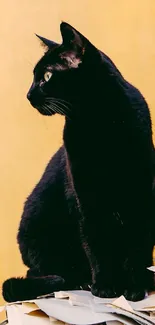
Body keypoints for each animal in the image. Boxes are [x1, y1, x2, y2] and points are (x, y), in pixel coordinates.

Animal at [2, 22, 155, 302]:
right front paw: (104, 287)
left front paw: (134, 288)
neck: (99, 122)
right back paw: (82, 281)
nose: (28, 94)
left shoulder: (140, 194)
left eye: (46, 76)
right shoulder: (85, 196)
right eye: (34, 76)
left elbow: (136, 247)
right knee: (42, 272)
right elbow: (95, 242)